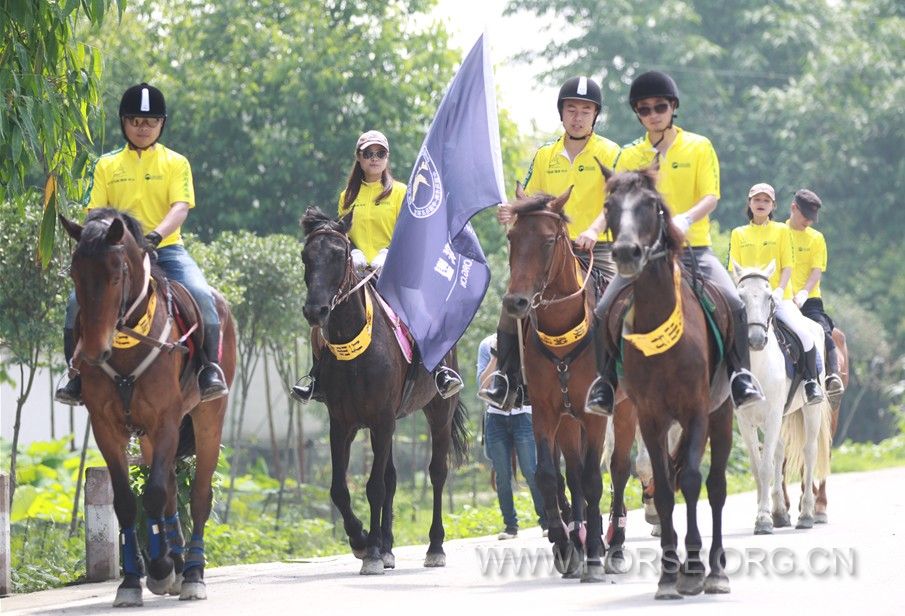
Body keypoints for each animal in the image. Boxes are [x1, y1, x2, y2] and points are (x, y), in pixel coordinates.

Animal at [59, 208, 237, 608]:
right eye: (75, 274)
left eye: (116, 274)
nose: (91, 353)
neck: (127, 344)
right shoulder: (106, 427)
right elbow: (128, 501)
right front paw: (131, 580)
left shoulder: (167, 420)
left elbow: (153, 494)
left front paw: (159, 569)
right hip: (147, 437)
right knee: (170, 487)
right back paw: (175, 561)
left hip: (208, 416)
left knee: (198, 495)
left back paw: (192, 574)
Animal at [300, 207, 470, 572]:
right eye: (306, 256)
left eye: (339, 255)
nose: (315, 311)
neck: (356, 350)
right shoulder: (343, 423)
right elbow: (340, 489)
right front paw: (363, 541)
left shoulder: (380, 419)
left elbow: (374, 487)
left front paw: (372, 551)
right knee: (392, 477)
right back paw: (389, 547)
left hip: (438, 411)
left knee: (437, 473)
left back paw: (435, 547)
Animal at [502, 190, 636, 580]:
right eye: (512, 237)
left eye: (548, 241)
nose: (515, 302)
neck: (562, 333)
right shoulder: (546, 412)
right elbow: (550, 475)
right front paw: (566, 548)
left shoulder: (594, 415)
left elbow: (594, 478)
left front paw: (593, 554)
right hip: (566, 418)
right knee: (573, 473)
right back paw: (579, 538)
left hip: (625, 410)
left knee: (619, 469)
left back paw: (613, 545)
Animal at [600, 170, 736, 600]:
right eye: (609, 206)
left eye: (650, 205)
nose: (627, 253)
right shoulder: (650, 415)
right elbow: (661, 488)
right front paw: (667, 574)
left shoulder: (696, 411)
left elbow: (691, 481)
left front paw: (692, 570)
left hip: (722, 413)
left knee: (717, 486)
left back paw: (717, 571)